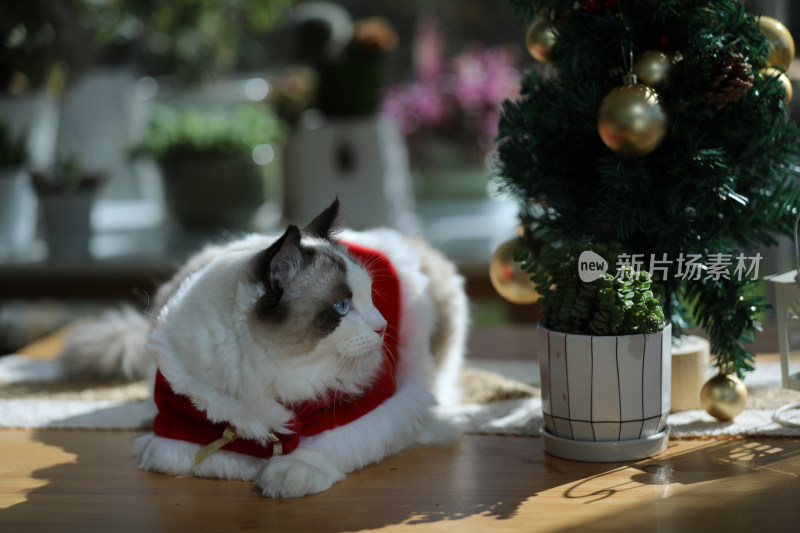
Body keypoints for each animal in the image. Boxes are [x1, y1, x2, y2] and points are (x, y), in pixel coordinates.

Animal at [61, 197, 468, 496]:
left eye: (372, 297)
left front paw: (285, 474)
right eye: (342, 307)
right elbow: (182, 453)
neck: (267, 374)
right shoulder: (183, 416)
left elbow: (329, 445)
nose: (383, 327)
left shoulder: (377, 406)